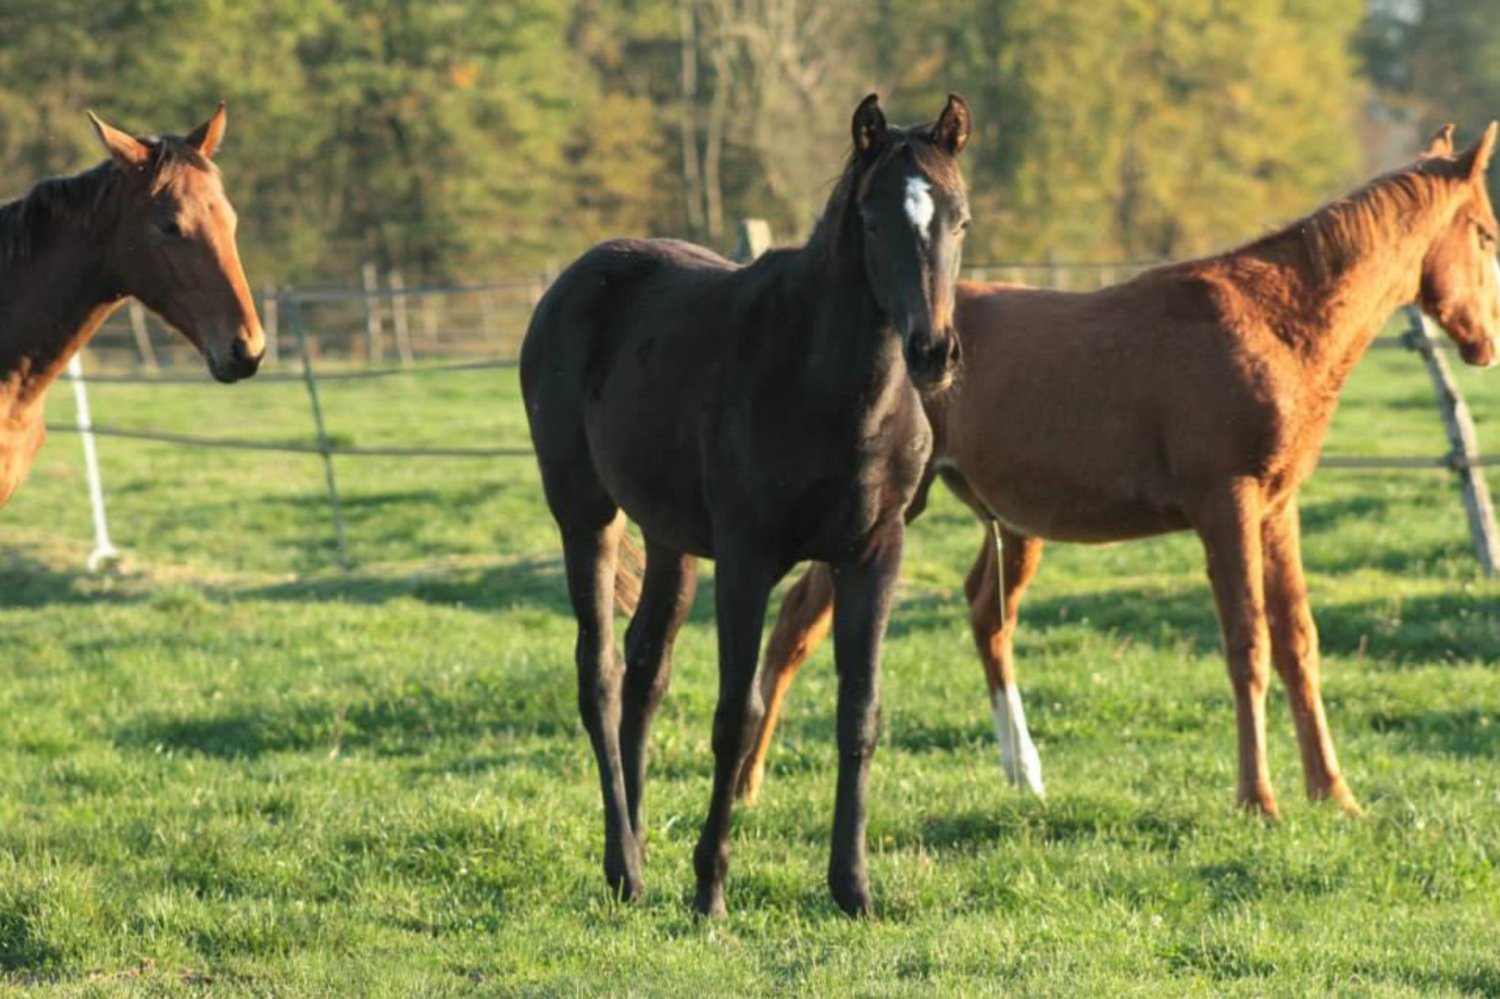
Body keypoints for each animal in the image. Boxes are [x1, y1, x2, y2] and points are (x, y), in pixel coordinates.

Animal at [522, 94, 972, 916]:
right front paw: (710, 888)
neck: (831, 390)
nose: (933, 353)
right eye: (873, 223)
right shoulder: (746, 560)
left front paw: (853, 887)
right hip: (585, 516)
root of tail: (572, 283)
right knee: (599, 673)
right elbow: (737, 717)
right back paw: (624, 867)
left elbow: (859, 714)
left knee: (645, 672)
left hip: (668, 537)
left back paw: (637, 850)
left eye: (958, 219)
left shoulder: (874, 555)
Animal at [738, 123, 1500, 820]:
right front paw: (1259, 799)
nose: (1486, 342)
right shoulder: (1226, 506)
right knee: (799, 622)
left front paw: (1334, 793)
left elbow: (1298, 644)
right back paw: (747, 780)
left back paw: (1023, 771)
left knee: (986, 613)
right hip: (896, 510)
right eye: (1488, 234)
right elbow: (1248, 644)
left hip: (1010, 524)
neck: (1275, 320)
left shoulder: (1278, 508)